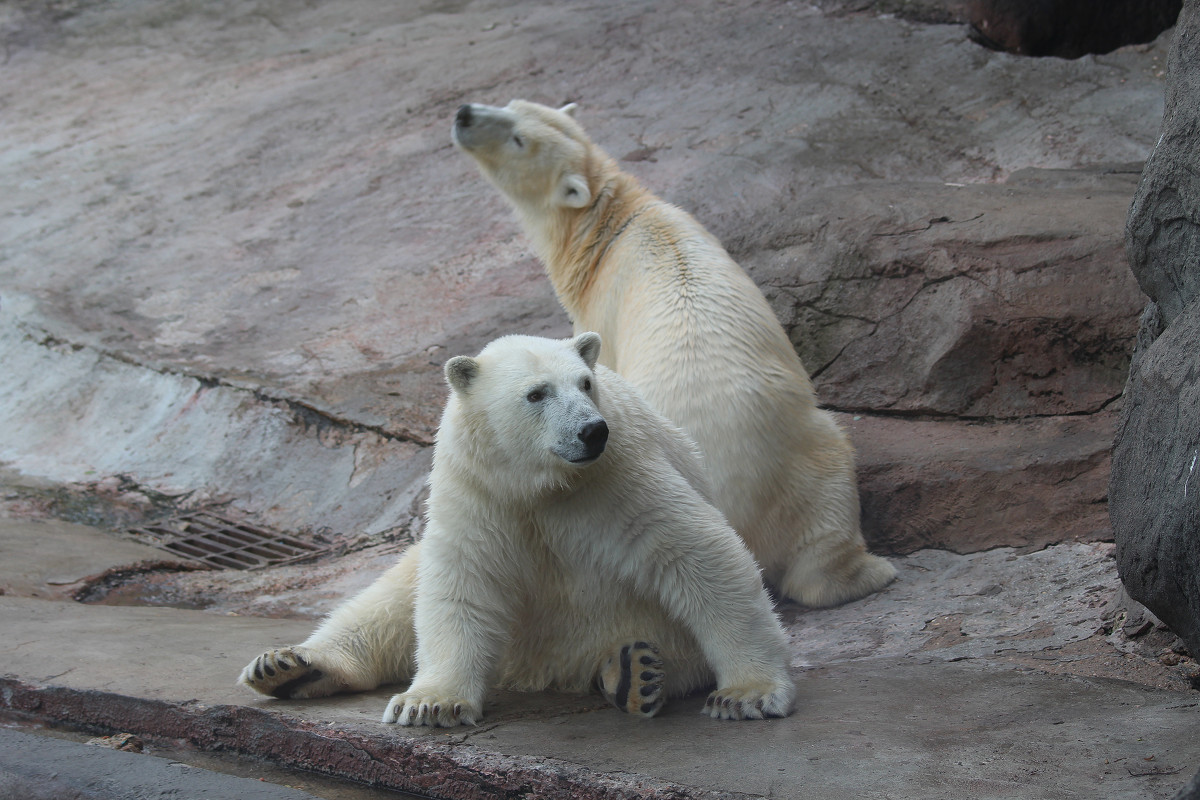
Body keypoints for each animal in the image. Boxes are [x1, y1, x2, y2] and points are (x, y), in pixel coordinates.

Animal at [238, 335, 792, 729]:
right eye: (536, 393)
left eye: (585, 383)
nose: (592, 430)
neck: (538, 483)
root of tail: (541, 669)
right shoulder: (479, 490)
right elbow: (463, 580)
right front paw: (430, 704)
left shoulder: (615, 477)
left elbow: (696, 552)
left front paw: (747, 694)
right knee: (388, 602)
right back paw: (287, 667)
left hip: (640, 627)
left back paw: (634, 674)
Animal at [453, 103, 897, 609]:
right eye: (511, 106)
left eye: (519, 139)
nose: (464, 114)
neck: (612, 226)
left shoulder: (603, 312)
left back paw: (876, 570)